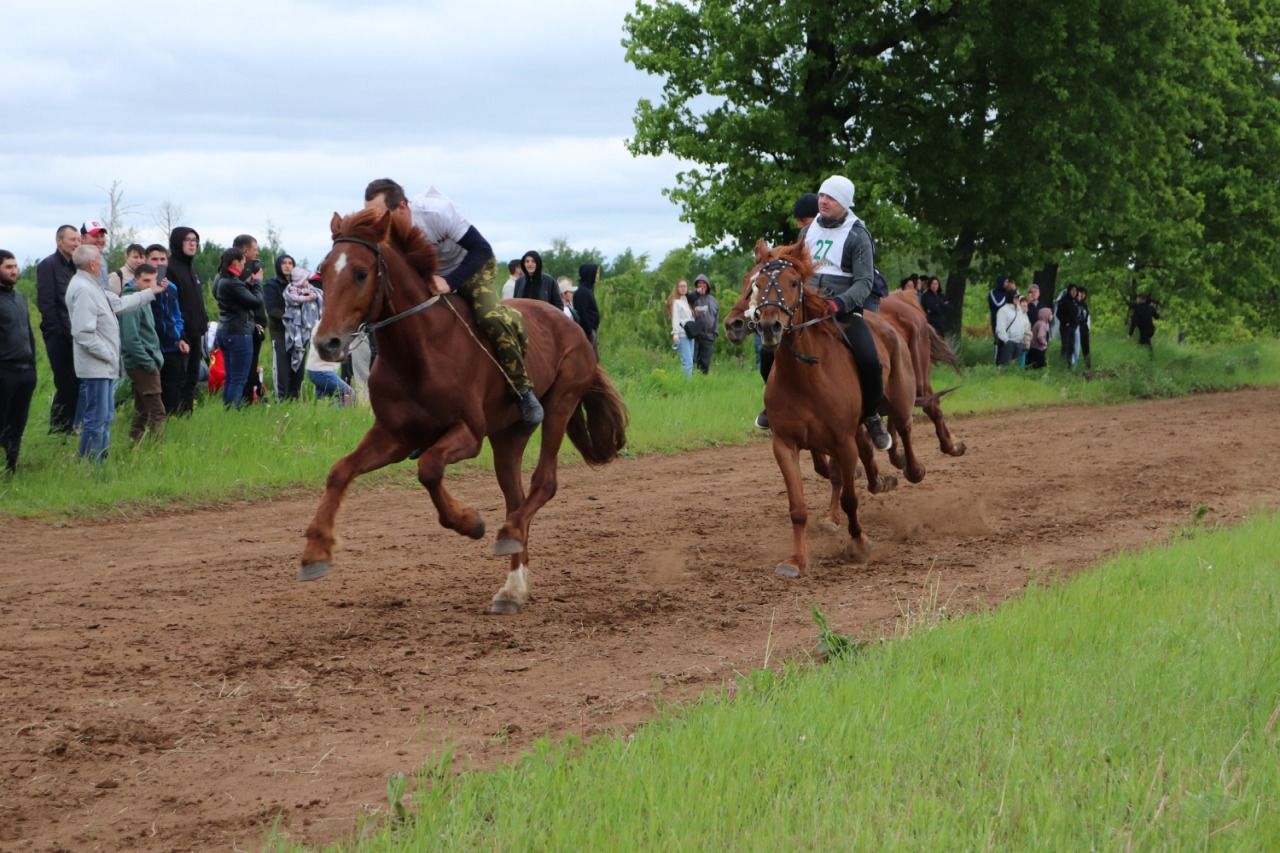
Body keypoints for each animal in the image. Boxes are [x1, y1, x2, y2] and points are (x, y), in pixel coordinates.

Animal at [295, 206, 624, 612]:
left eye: (360, 273)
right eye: (323, 271)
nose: (327, 343)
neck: (418, 350)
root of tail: (569, 322)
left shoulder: (468, 432)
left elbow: (429, 468)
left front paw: (470, 522)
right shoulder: (394, 435)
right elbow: (340, 471)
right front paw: (315, 552)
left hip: (561, 400)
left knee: (543, 483)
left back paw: (508, 535)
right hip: (509, 433)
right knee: (515, 497)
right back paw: (512, 586)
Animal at [721, 236, 921, 571]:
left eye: (792, 282)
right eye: (756, 283)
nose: (770, 327)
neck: (804, 376)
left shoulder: (842, 441)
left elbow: (850, 497)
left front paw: (860, 543)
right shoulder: (785, 444)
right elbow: (798, 506)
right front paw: (796, 560)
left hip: (900, 397)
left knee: (903, 428)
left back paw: (911, 468)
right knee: (866, 451)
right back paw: (876, 482)